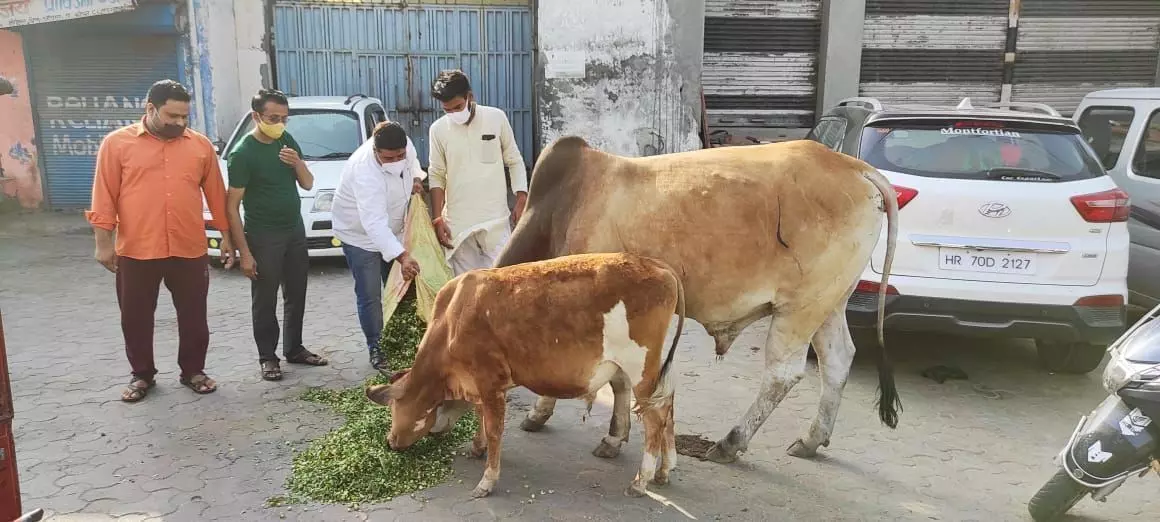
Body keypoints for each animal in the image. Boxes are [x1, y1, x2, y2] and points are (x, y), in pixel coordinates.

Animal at [366, 252, 682, 496]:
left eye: (393, 408)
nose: (389, 441)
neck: (452, 319)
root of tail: (657, 265)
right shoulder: (482, 385)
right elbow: (481, 417)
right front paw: (477, 447)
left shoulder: (490, 380)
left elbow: (495, 429)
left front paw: (487, 480)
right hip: (651, 372)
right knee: (667, 407)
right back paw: (665, 470)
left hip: (639, 366)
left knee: (654, 419)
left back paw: (641, 481)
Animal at [494, 136, 900, 464]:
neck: (559, 211)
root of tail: (858, 168)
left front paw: (557, 420)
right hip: (830, 302)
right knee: (838, 360)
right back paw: (812, 439)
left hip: (800, 308)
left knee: (782, 373)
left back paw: (731, 443)